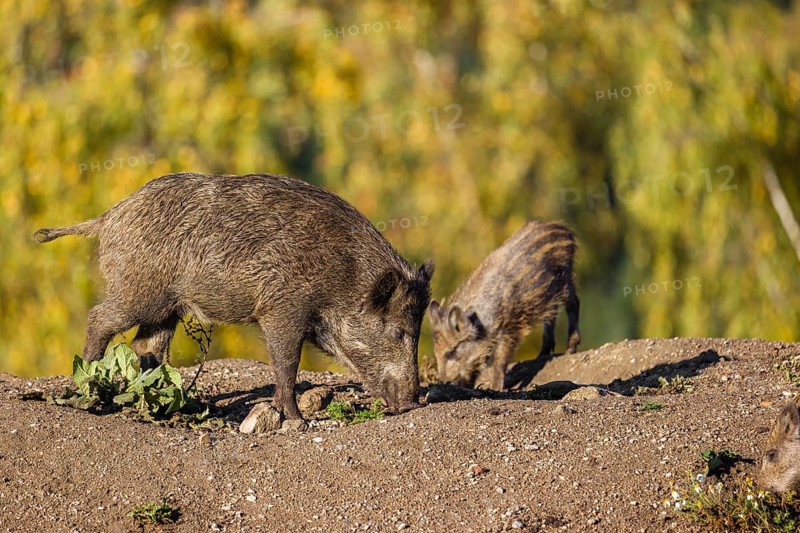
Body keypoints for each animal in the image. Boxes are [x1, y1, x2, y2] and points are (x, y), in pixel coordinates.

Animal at [34, 172, 434, 420]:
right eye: (398, 331)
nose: (414, 403)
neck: (344, 277)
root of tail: (107, 218)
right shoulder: (281, 309)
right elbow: (286, 363)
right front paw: (296, 419)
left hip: (166, 309)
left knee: (147, 347)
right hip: (139, 293)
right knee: (99, 319)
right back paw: (86, 385)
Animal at [428, 221, 579, 390]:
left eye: (451, 352)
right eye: (436, 352)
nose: (443, 382)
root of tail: (564, 229)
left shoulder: (511, 327)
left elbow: (500, 359)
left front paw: (495, 389)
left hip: (565, 280)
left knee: (574, 303)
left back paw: (570, 350)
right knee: (551, 316)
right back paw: (542, 355)